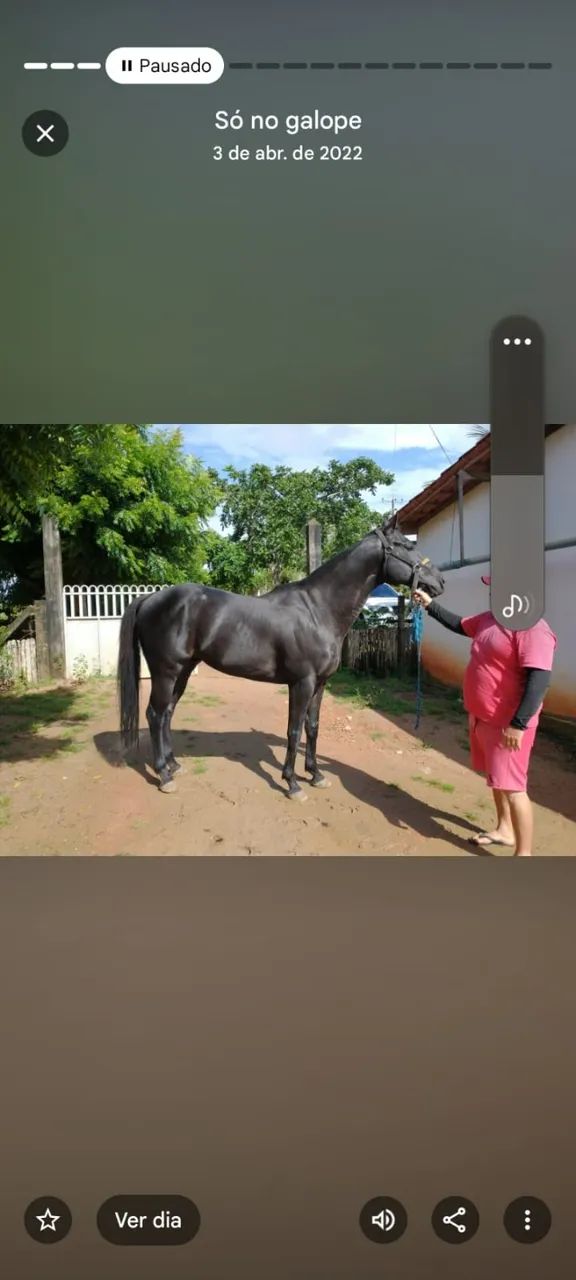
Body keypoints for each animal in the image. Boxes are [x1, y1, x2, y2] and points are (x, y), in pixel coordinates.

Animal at [117, 516, 445, 799]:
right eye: (406, 546)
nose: (439, 582)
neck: (318, 611)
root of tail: (150, 598)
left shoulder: (320, 684)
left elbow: (312, 728)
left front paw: (316, 775)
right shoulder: (301, 683)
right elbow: (294, 730)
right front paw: (292, 784)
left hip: (183, 672)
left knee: (167, 714)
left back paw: (173, 765)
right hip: (165, 672)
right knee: (155, 714)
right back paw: (164, 776)